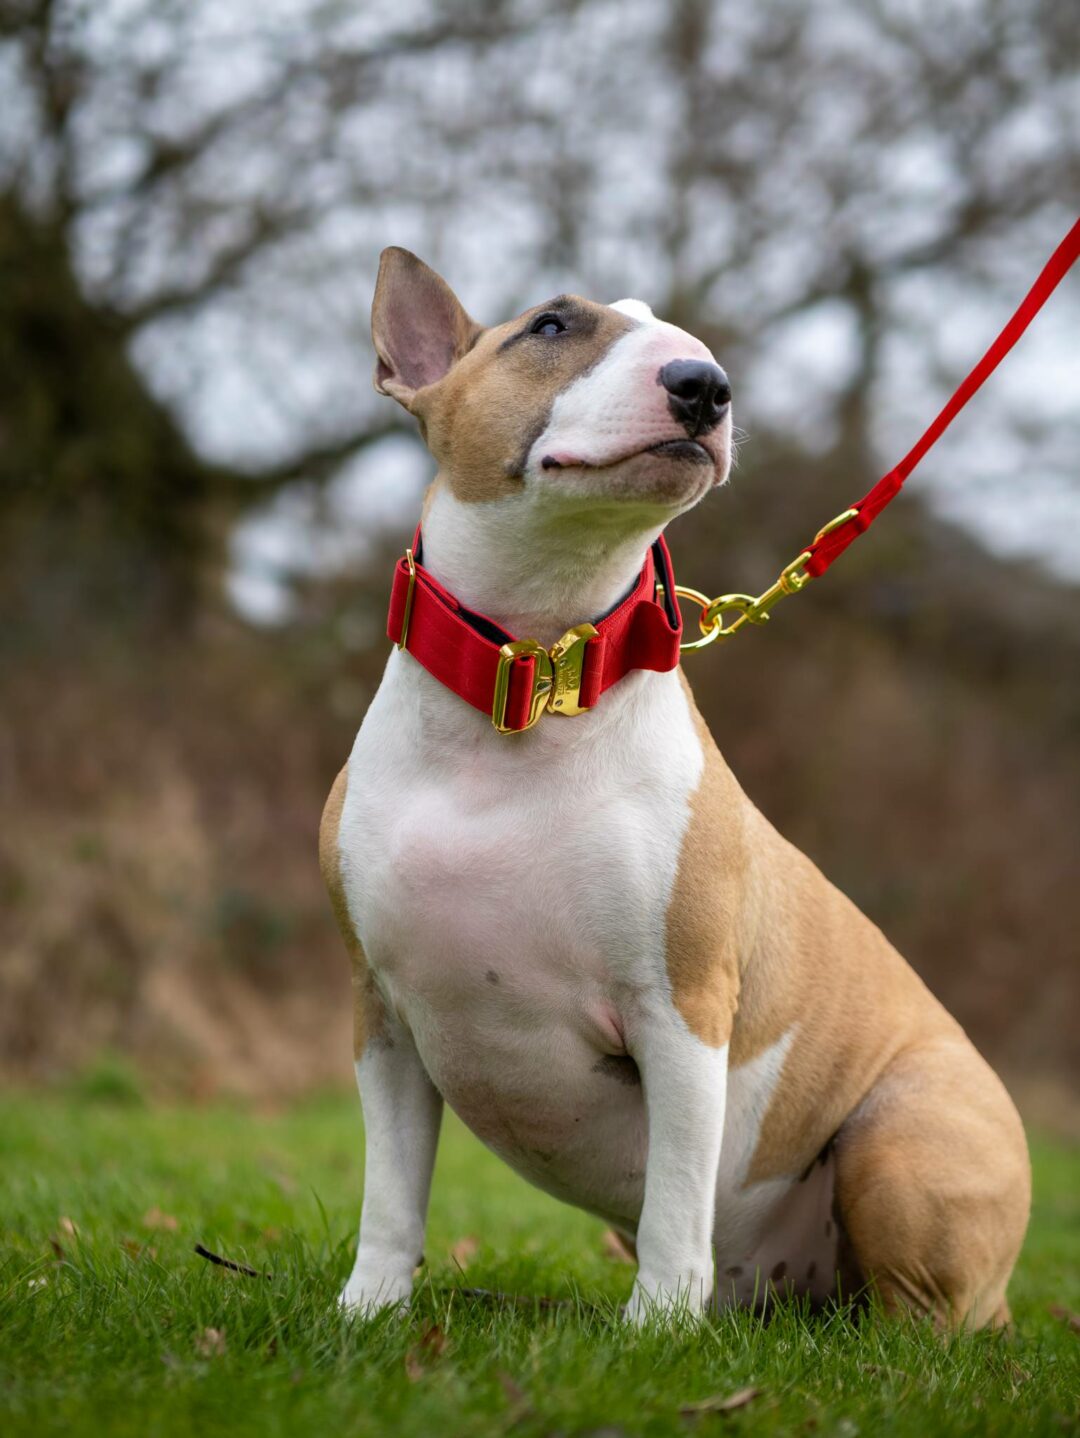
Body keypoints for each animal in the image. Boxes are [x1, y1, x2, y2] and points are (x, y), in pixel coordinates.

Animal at [320, 244, 1029, 1322]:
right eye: (551, 325)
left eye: (688, 343)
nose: (704, 385)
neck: (533, 679)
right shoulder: (384, 1020)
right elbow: (393, 1190)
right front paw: (369, 1311)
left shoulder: (682, 1010)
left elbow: (677, 1192)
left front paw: (655, 1328)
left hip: (901, 1137)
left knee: (926, 1319)